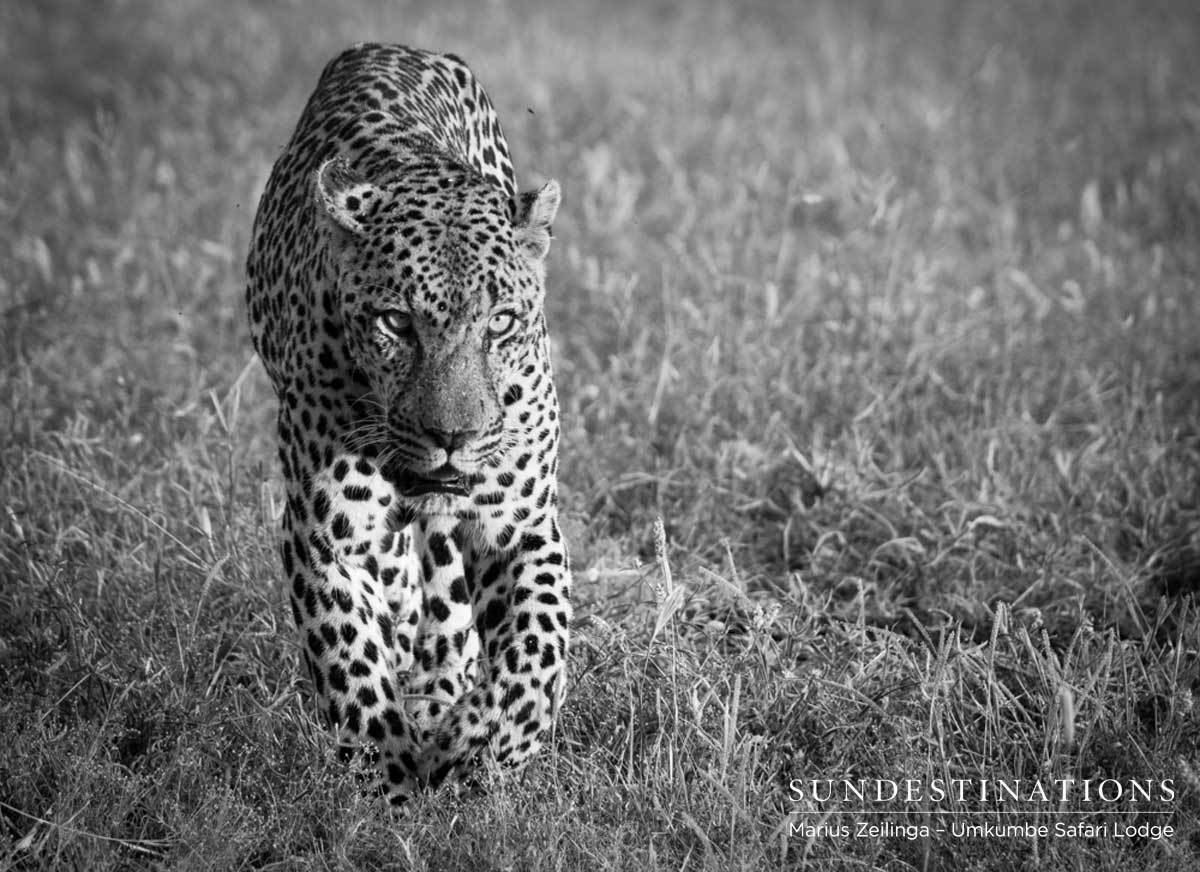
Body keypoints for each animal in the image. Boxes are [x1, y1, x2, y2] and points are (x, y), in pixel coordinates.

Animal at [243, 42, 571, 806]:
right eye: (397, 322)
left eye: (500, 323)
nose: (452, 438)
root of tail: (393, 47)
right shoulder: (324, 532)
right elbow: (351, 664)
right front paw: (385, 787)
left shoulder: (523, 524)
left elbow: (536, 654)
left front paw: (481, 744)